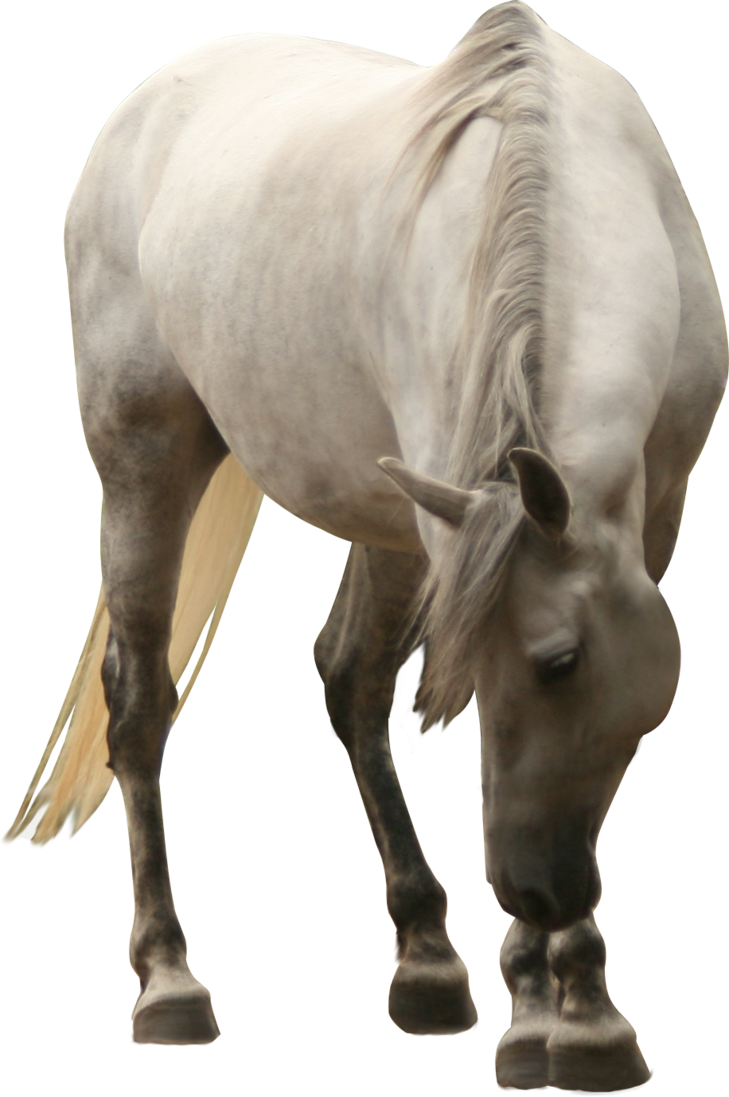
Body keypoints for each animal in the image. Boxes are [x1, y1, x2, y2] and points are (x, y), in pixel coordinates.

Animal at [2, 0, 725, 1086]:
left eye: (558, 663)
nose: (533, 890)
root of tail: (147, 102)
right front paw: (564, 1015)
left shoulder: (635, 511)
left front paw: (559, 1012)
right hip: (146, 464)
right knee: (138, 701)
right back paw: (170, 982)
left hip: (385, 511)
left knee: (347, 674)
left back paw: (427, 959)